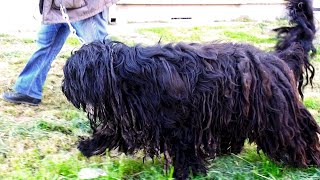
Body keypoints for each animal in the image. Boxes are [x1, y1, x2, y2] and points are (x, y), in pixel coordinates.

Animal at [62, 0, 318, 179]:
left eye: (70, 75)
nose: (64, 88)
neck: (124, 72)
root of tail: (277, 60)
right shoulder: (137, 115)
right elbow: (112, 130)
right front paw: (88, 146)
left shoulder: (180, 122)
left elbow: (184, 149)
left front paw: (186, 173)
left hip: (278, 113)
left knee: (299, 133)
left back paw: (308, 160)